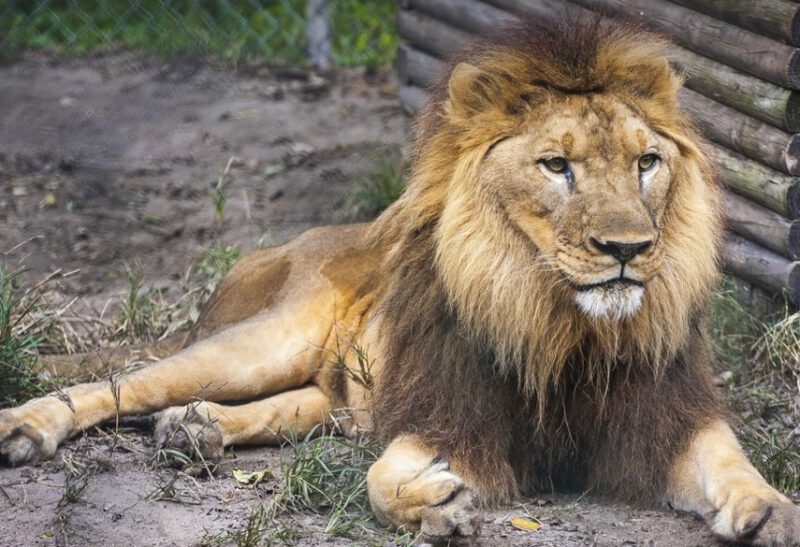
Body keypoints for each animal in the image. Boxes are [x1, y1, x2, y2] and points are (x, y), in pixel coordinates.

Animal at [2, 15, 799, 545]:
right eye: (556, 166)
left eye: (645, 163)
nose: (628, 248)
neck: (559, 322)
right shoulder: (446, 411)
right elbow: (380, 482)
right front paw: (436, 503)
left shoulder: (670, 414)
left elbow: (731, 462)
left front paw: (770, 509)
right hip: (264, 340)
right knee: (124, 383)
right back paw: (30, 427)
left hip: (335, 393)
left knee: (286, 405)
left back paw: (193, 428)